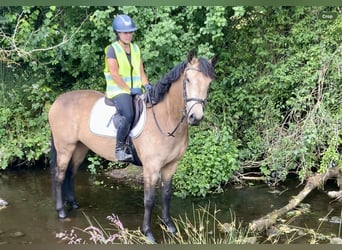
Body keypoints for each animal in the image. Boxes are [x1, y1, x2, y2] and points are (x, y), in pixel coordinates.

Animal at [48, 50, 216, 242]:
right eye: (187, 79)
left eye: (209, 83)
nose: (196, 117)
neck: (165, 118)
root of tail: (57, 101)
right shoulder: (151, 168)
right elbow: (149, 200)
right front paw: (148, 233)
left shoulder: (171, 165)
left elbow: (166, 195)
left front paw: (170, 226)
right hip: (65, 148)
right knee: (60, 176)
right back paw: (61, 211)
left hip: (80, 148)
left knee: (71, 173)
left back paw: (74, 204)